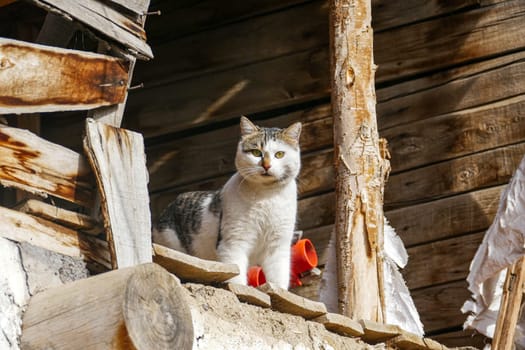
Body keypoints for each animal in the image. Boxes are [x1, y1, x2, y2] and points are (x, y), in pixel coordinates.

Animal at [151, 116, 300, 288]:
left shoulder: (278, 245)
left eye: (280, 154)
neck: (266, 196)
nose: (266, 165)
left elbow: (279, 278)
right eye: (256, 152)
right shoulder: (233, 243)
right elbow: (236, 277)